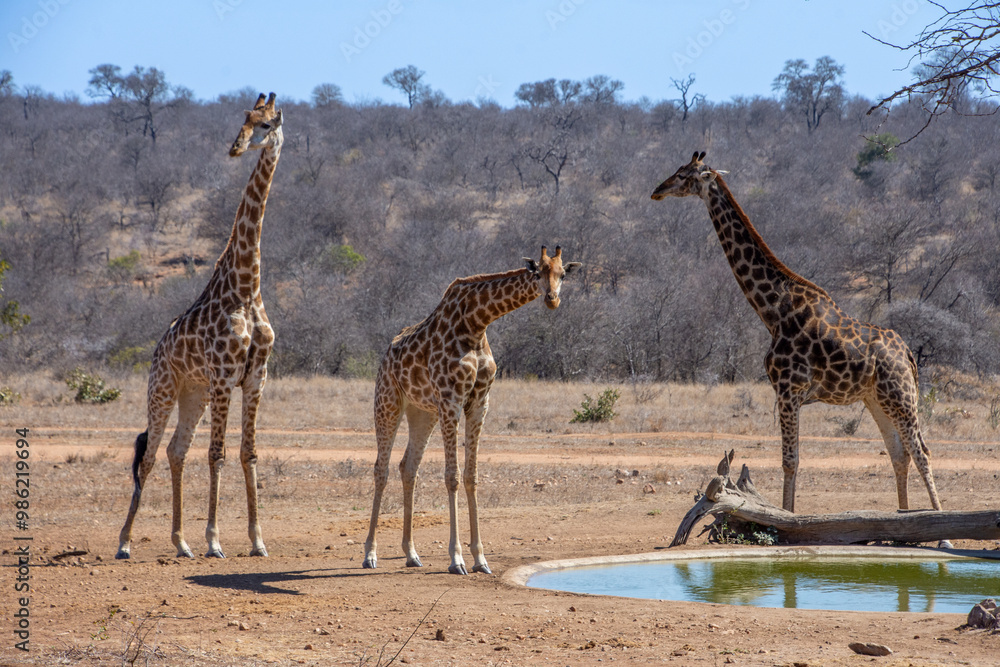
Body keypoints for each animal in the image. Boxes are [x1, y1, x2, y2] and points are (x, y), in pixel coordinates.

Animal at [116, 93, 284, 560]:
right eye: (244, 118)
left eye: (267, 124)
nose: (235, 148)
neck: (247, 286)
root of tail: (156, 351)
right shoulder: (226, 376)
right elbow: (218, 454)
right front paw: (215, 541)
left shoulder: (256, 376)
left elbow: (248, 454)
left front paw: (257, 541)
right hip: (164, 388)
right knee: (150, 455)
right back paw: (125, 543)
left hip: (194, 393)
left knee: (176, 451)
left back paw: (181, 542)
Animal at [362, 247, 581, 575]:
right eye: (537, 272)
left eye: (563, 274)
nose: (551, 299)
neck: (477, 324)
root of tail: (388, 349)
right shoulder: (451, 399)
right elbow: (452, 476)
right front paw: (456, 560)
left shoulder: (479, 403)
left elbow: (471, 475)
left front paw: (481, 559)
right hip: (388, 400)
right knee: (381, 468)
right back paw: (370, 554)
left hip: (422, 411)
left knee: (408, 467)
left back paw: (412, 554)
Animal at [651, 151, 944, 515]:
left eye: (682, 175)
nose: (657, 190)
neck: (773, 310)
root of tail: (907, 353)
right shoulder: (790, 393)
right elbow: (792, 460)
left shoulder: (788, 390)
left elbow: (790, 461)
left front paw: (788, 518)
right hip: (876, 398)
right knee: (899, 453)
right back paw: (903, 514)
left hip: (901, 396)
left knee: (922, 452)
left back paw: (939, 518)